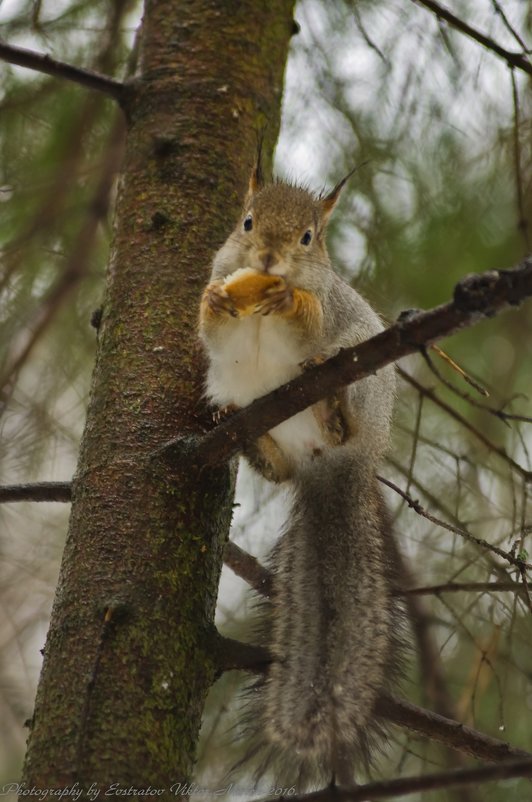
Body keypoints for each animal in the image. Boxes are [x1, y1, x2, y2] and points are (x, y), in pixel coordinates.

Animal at [198, 158, 404, 788]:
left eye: (309, 238)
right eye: (247, 222)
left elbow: (309, 319)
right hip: (243, 401)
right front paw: (215, 302)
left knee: (337, 405)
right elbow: (210, 324)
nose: (268, 258)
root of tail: (339, 467)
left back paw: (333, 411)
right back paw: (249, 435)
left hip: (363, 380)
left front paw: (288, 299)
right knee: (279, 471)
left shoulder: (329, 307)